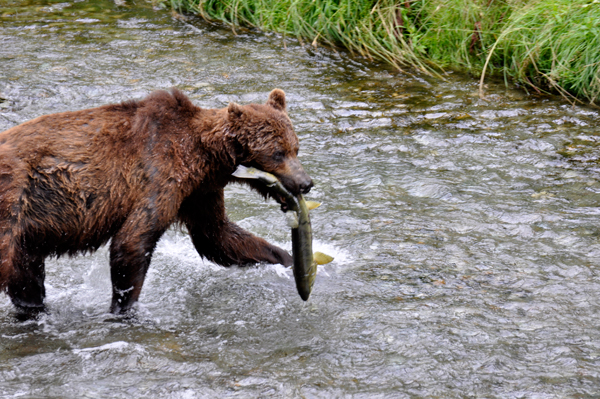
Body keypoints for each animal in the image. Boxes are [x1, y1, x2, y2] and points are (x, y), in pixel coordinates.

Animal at [0, 89, 312, 318]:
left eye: (295, 148)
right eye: (277, 153)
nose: (305, 182)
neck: (203, 159)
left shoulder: (198, 193)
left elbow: (218, 236)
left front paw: (288, 259)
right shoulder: (161, 175)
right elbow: (133, 240)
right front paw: (123, 309)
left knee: (26, 270)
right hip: (14, 201)